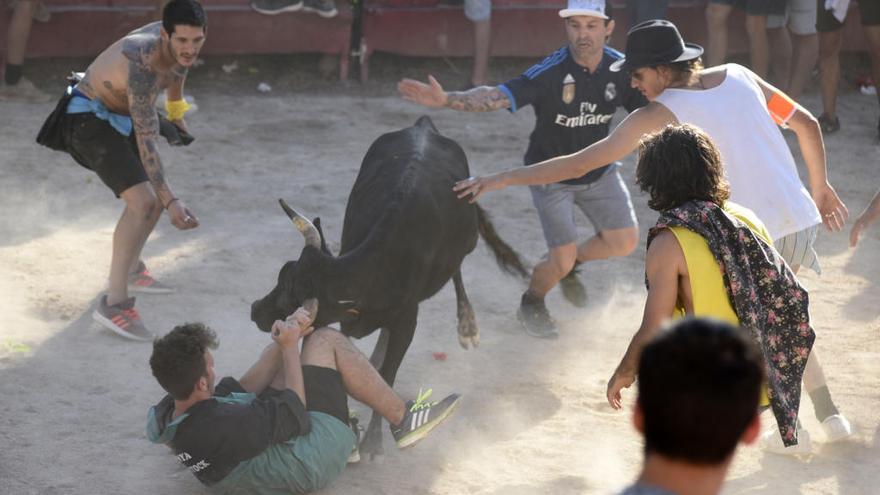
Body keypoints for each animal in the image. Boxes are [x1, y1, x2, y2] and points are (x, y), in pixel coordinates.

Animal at [251, 116, 524, 458]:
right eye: (281, 275)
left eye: (291, 292)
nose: (255, 311)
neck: (381, 265)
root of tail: (424, 125)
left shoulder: (408, 318)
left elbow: (388, 374)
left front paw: (372, 441)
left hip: (469, 240)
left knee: (458, 270)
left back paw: (467, 326)